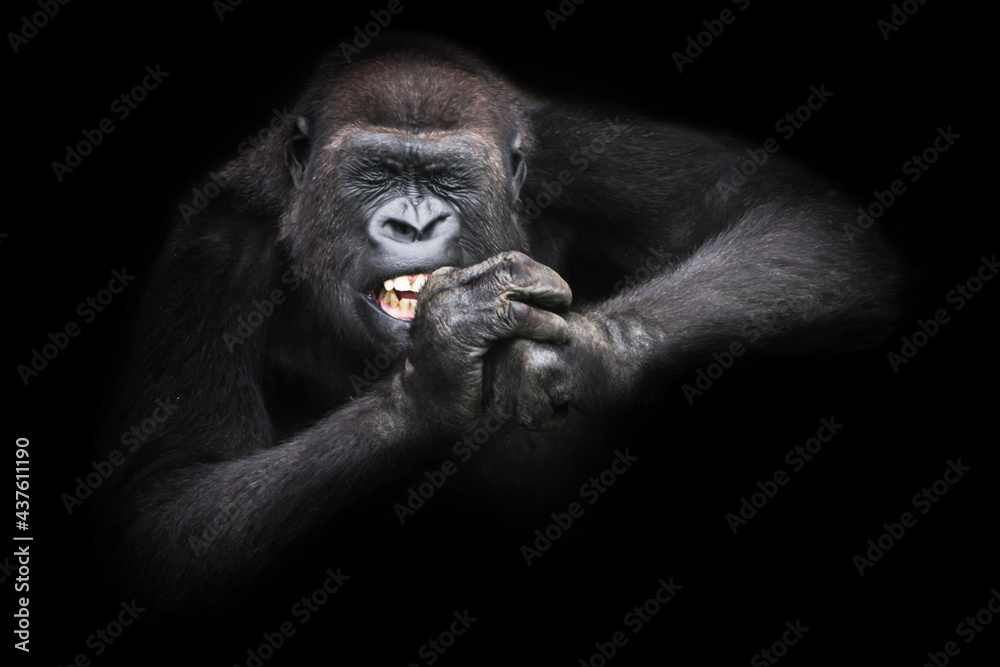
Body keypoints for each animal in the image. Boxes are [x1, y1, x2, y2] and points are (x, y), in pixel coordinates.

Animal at [95, 35, 908, 664]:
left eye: (449, 177)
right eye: (375, 174)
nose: (414, 223)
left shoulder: (578, 151)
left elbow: (795, 212)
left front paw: (585, 352)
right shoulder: (210, 254)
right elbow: (168, 510)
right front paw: (431, 384)